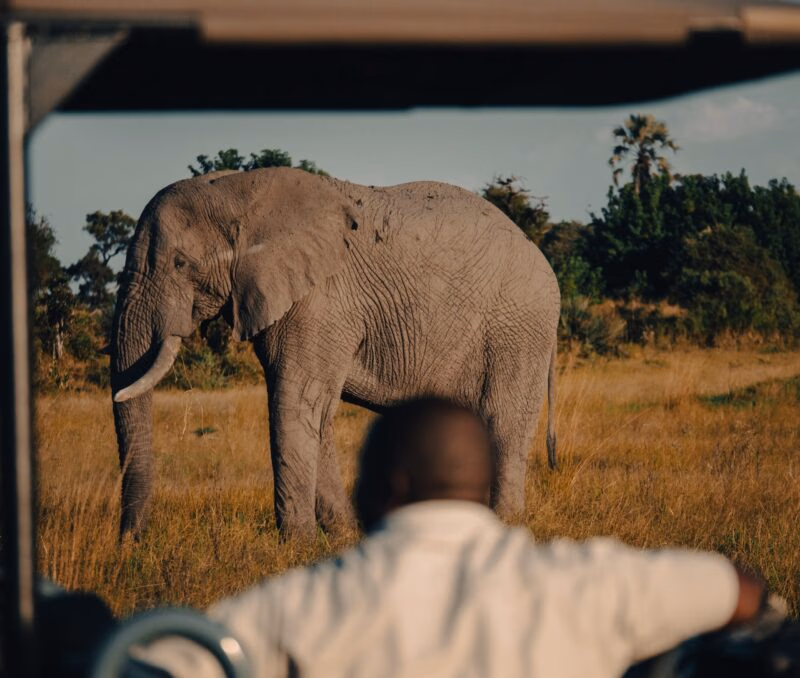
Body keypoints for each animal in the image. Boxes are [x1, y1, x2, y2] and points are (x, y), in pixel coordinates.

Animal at [111, 167, 560, 540]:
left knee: (502, 425)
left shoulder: (320, 302)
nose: (131, 544)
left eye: (180, 263)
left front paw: (295, 545)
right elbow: (317, 412)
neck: (239, 190)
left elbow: (293, 404)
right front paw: (341, 537)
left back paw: (503, 525)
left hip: (518, 330)